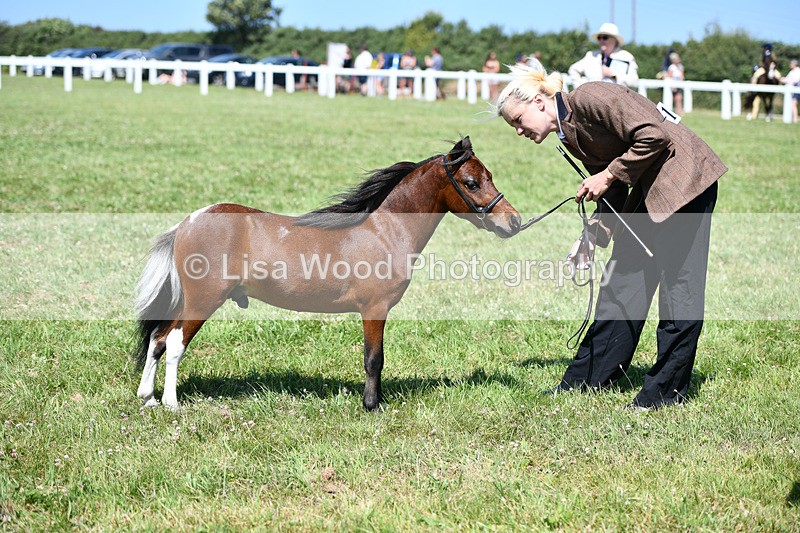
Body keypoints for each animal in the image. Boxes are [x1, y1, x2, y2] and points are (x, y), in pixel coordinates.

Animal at [133, 137, 522, 411]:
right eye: (471, 183)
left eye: (489, 177)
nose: (514, 221)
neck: (384, 230)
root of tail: (187, 223)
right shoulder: (374, 309)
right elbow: (374, 359)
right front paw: (372, 405)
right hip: (203, 302)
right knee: (175, 343)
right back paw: (171, 403)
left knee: (158, 338)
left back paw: (148, 397)